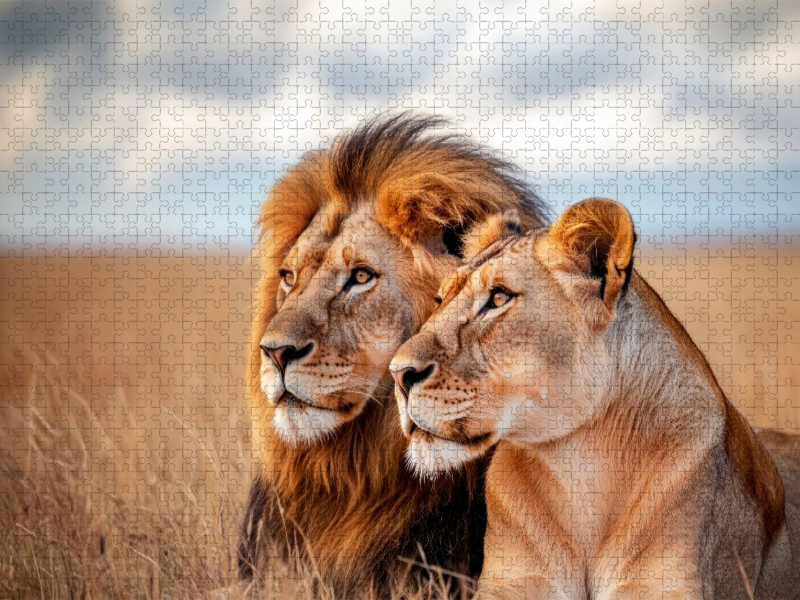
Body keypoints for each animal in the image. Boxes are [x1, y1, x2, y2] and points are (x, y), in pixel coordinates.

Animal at [389, 198, 800, 599]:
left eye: (499, 298)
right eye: (440, 299)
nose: (398, 373)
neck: (581, 469)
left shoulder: (668, 583)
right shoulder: (512, 582)